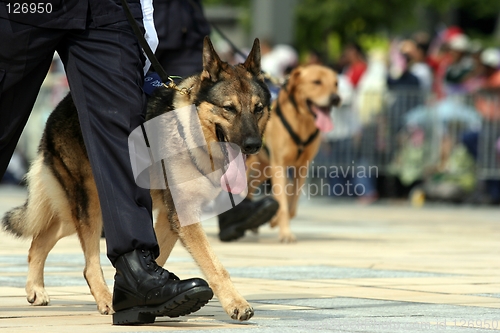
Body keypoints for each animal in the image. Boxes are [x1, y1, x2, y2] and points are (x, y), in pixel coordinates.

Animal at [1, 37, 272, 320]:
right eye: (229, 108)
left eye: (258, 109)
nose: (253, 145)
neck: (189, 132)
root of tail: (61, 106)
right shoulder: (184, 217)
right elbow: (215, 265)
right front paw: (236, 303)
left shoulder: (170, 219)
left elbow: (158, 255)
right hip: (91, 205)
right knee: (87, 264)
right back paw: (104, 299)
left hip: (73, 212)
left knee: (39, 242)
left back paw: (36, 289)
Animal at [246, 64, 340, 241]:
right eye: (316, 82)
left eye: (336, 83)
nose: (336, 98)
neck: (302, 122)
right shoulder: (279, 166)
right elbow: (283, 202)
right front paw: (285, 233)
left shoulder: (302, 167)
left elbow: (292, 204)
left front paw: (275, 221)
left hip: (264, 168)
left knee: (250, 186)